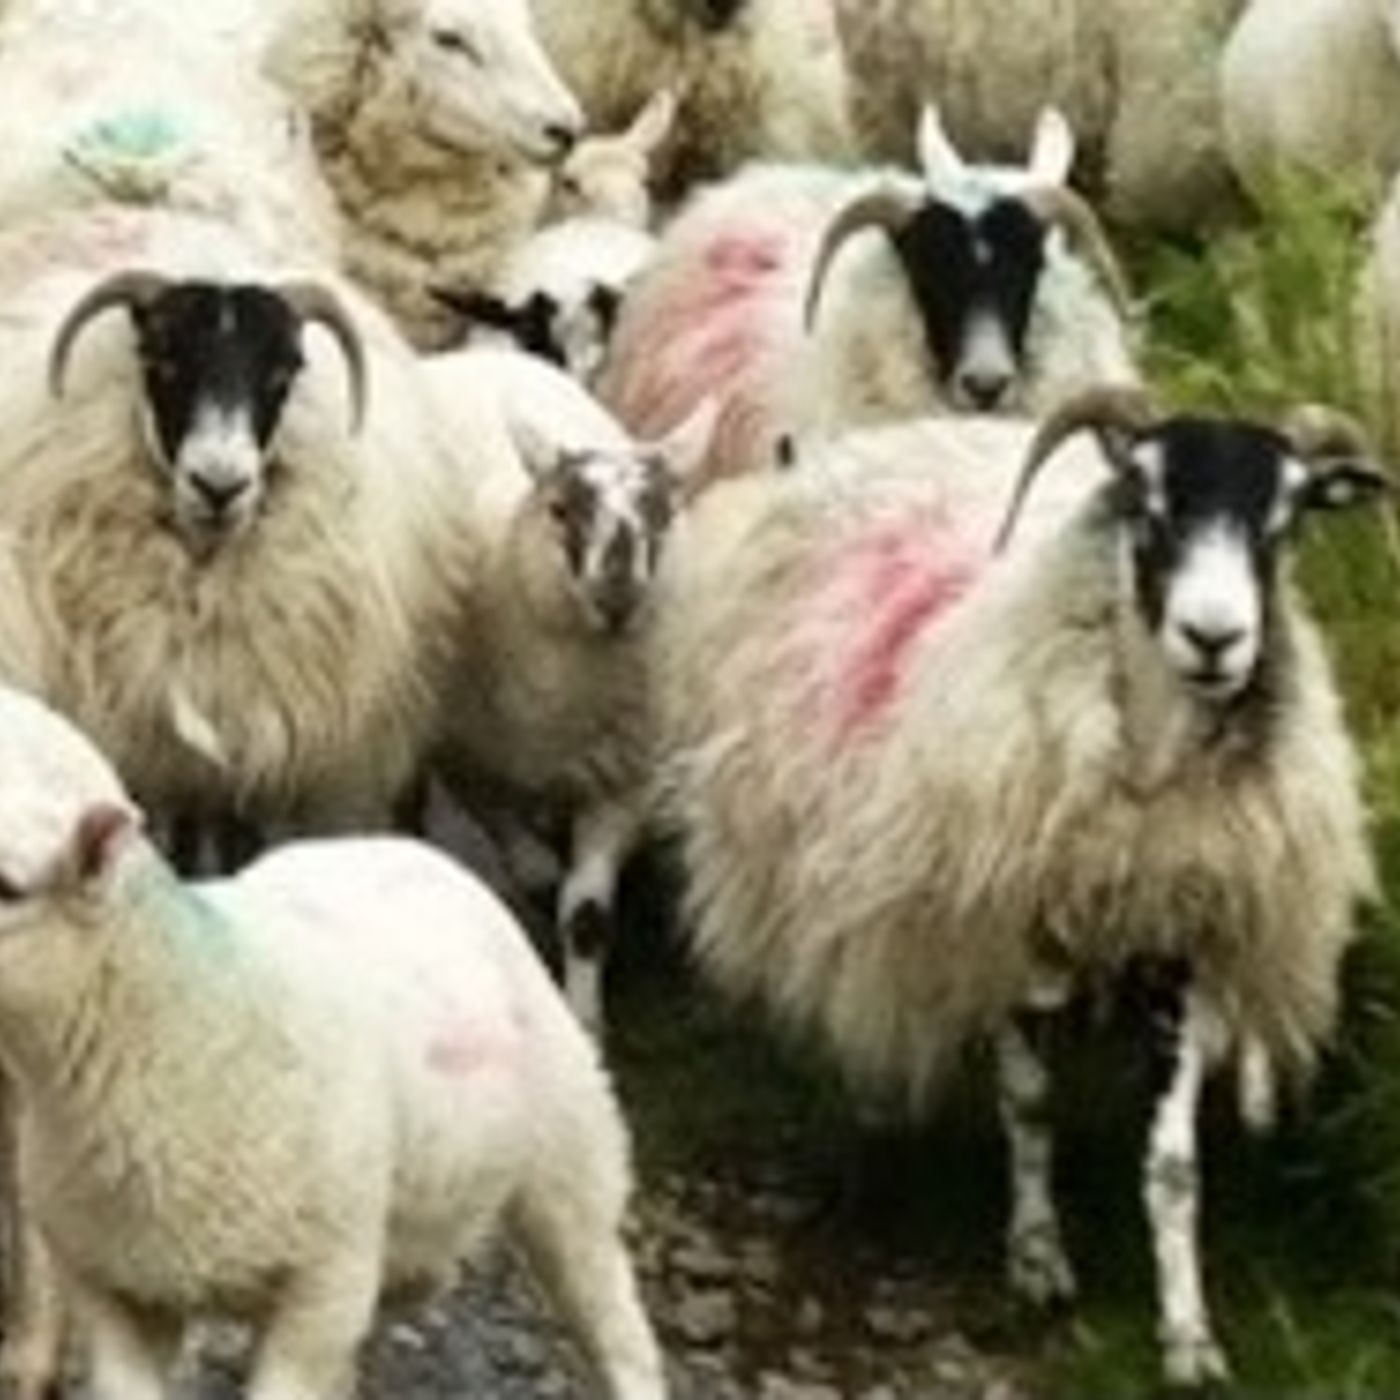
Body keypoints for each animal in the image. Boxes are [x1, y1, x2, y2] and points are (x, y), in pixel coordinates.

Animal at [0, 683, 666, 1400]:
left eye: (9, 888)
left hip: (570, 1163)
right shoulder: (117, 1292)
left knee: (615, 1322)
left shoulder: (324, 1287)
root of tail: (406, 850)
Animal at [423, 346, 715, 1033]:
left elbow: (586, 914)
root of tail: (482, 352)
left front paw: (583, 1016)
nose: (617, 594)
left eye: (664, 513)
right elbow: (523, 857)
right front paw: (535, 875)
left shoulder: (626, 780)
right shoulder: (465, 757)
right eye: (560, 509)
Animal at [654, 389, 1383, 1385]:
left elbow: (1173, 1165)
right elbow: (1030, 1105)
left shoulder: (1181, 937)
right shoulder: (1001, 925)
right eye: (1146, 500)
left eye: (1289, 516)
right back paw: (871, 1134)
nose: (1216, 639)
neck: (1144, 781)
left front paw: (1188, 1334)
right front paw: (1038, 1261)